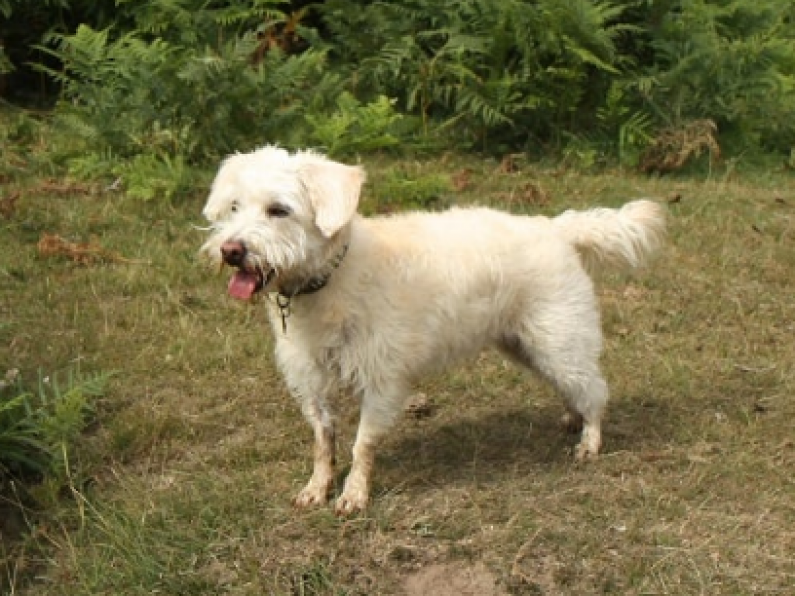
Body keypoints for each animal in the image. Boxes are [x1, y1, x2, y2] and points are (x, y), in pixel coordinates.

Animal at [201, 147, 664, 516]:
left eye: (279, 210)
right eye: (235, 207)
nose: (231, 250)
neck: (331, 279)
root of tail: (555, 227)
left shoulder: (382, 382)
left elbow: (362, 445)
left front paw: (354, 495)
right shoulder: (313, 381)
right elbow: (323, 442)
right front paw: (318, 488)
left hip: (559, 341)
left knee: (595, 390)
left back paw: (590, 440)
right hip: (528, 347)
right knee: (574, 387)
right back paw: (572, 417)